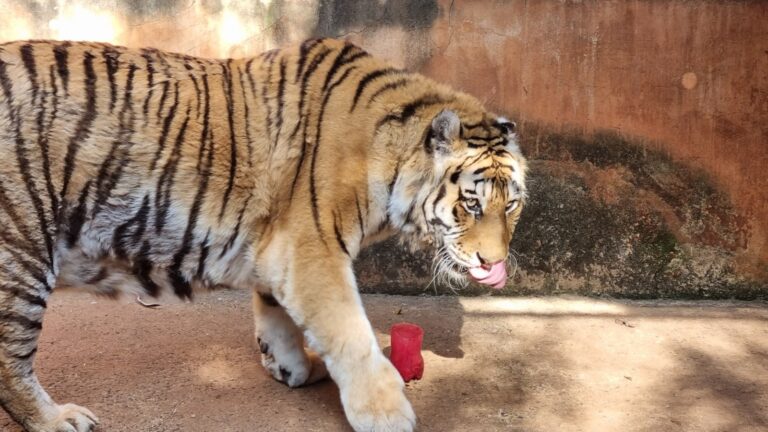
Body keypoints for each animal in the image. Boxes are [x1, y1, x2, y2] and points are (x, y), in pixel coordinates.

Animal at [0, 37, 527, 431]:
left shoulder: (281, 250)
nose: (494, 264)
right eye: (471, 203)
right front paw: (387, 415)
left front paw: (289, 366)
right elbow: (352, 335)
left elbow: (277, 315)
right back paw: (58, 419)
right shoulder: (315, 251)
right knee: (11, 359)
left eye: (511, 204)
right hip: (21, 250)